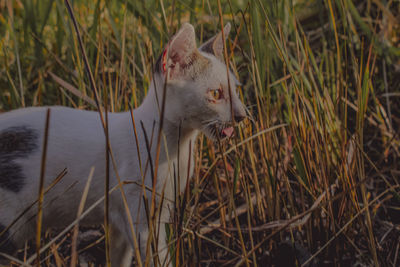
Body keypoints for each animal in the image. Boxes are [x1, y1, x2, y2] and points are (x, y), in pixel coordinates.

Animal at [0, 22, 247, 266]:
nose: (242, 115)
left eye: (236, 89)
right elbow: (158, 257)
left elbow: (120, 256)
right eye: (216, 93)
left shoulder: (129, 217)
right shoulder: (141, 215)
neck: (177, 149)